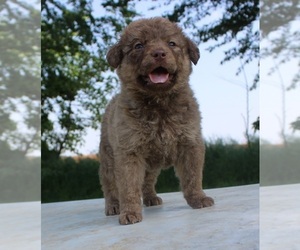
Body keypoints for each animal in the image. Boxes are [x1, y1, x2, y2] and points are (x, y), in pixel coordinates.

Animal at [99, 17, 214, 225]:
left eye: (172, 43)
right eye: (138, 45)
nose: (159, 53)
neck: (159, 104)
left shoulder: (190, 143)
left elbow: (193, 176)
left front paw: (198, 198)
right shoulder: (129, 152)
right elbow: (128, 186)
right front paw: (129, 212)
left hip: (151, 165)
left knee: (147, 181)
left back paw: (151, 197)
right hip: (108, 158)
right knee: (110, 184)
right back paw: (113, 205)